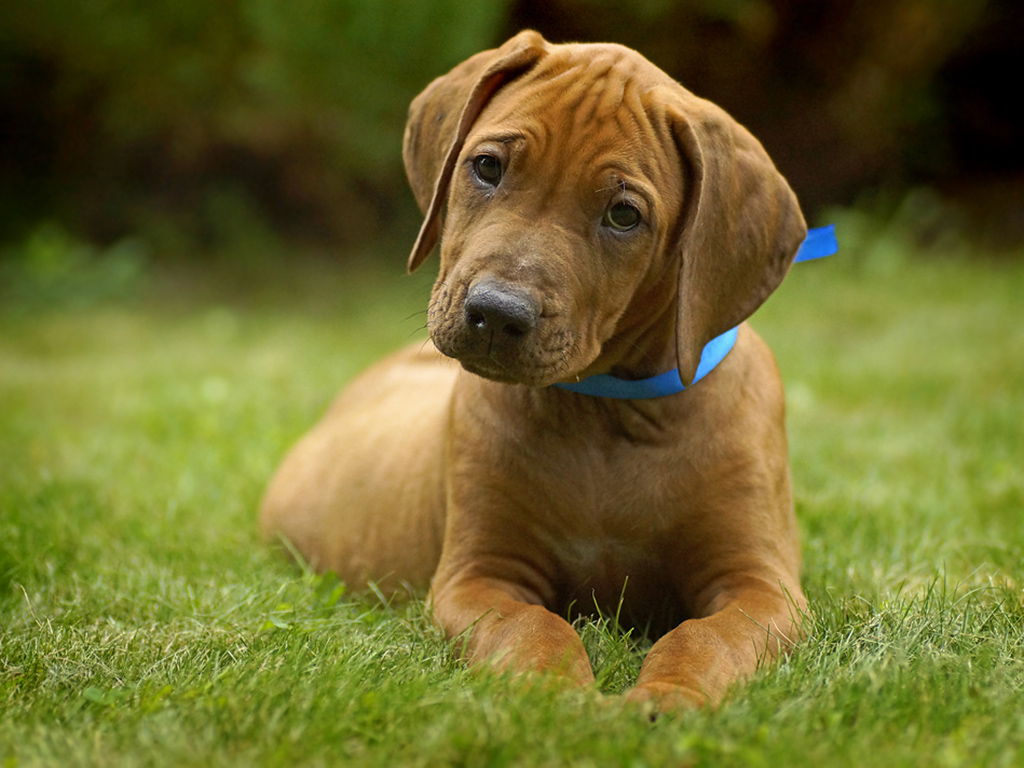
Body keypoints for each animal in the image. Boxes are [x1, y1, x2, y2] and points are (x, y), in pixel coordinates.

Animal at [260, 31, 811, 716]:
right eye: (487, 167)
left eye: (624, 215)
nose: (496, 314)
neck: (604, 411)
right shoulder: (479, 574)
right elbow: (530, 625)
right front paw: (553, 693)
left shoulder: (760, 583)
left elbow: (707, 636)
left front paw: (668, 698)